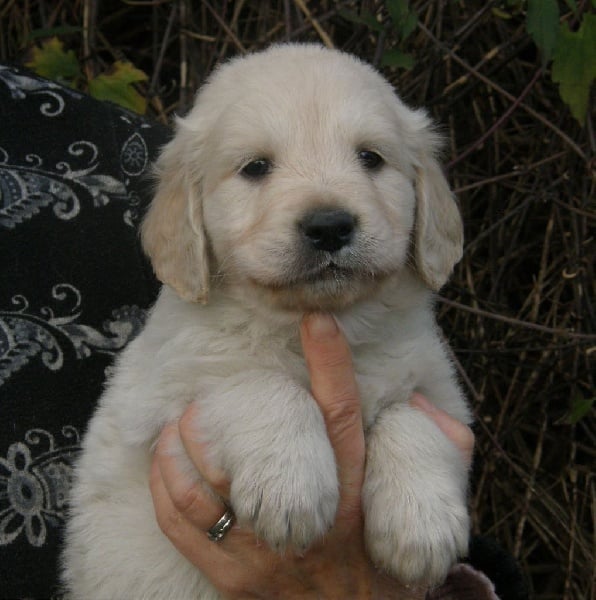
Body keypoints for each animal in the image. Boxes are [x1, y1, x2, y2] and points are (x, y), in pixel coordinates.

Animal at [62, 44, 471, 599]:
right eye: (256, 167)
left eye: (370, 158)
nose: (329, 226)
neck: (319, 323)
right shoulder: (160, 408)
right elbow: (258, 383)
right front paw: (291, 486)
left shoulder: (441, 392)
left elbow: (410, 415)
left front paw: (421, 524)